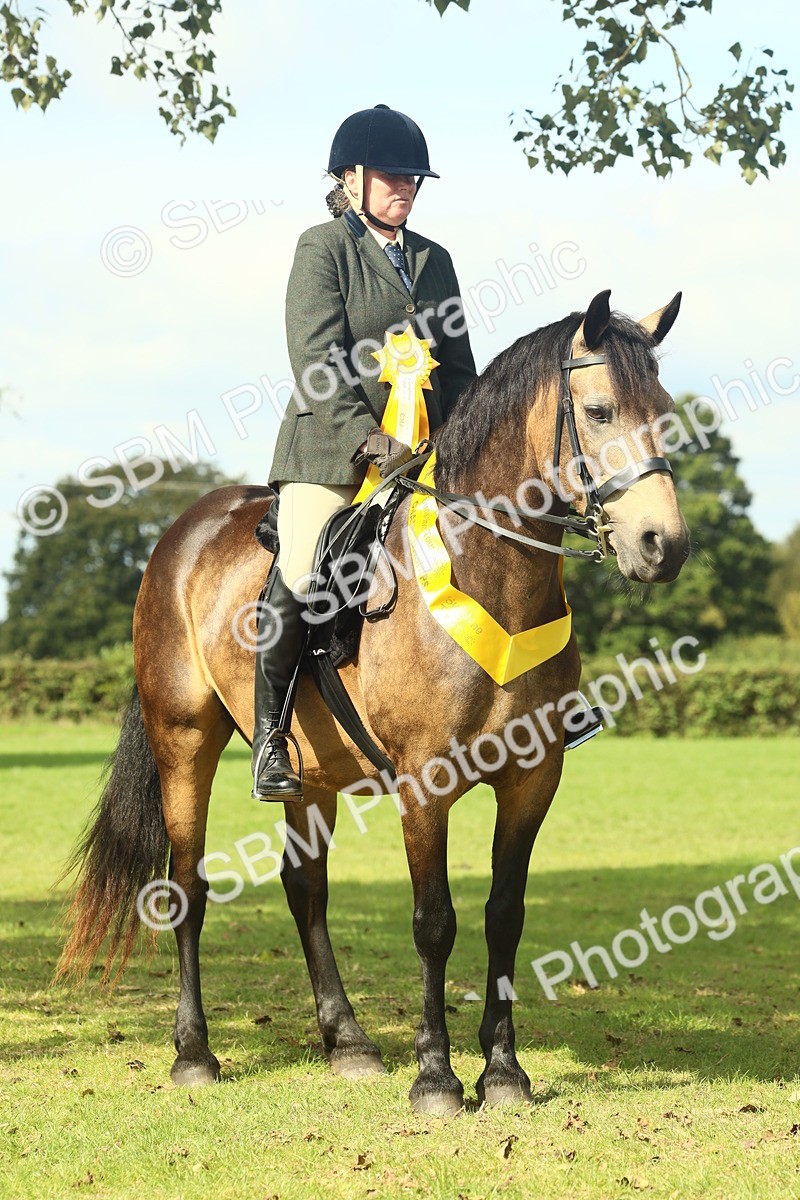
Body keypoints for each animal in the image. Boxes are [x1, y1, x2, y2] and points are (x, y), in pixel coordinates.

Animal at [56, 290, 690, 1116]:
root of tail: (180, 535)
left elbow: (504, 915)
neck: (493, 575)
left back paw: (348, 1041)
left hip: (310, 770)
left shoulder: (531, 780)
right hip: (184, 743)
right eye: (601, 410)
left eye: (666, 412)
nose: (662, 546)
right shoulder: (425, 783)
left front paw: (504, 1072)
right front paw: (438, 1077)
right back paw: (195, 1053)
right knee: (187, 884)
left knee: (306, 889)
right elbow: (434, 921)